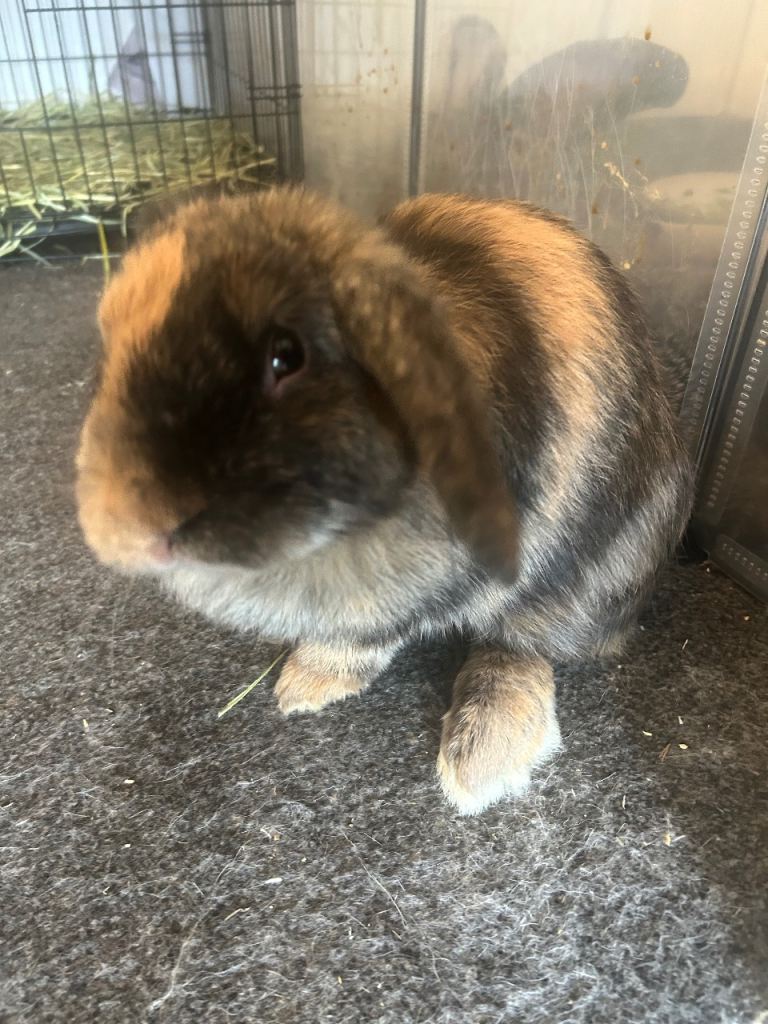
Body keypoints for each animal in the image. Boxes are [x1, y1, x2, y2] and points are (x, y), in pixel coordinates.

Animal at [76, 187, 693, 813]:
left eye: (285, 358)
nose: (134, 528)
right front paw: (300, 689)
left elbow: (371, 631)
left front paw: (300, 687)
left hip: (584, 587)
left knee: (524, 646)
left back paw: (478, 766)